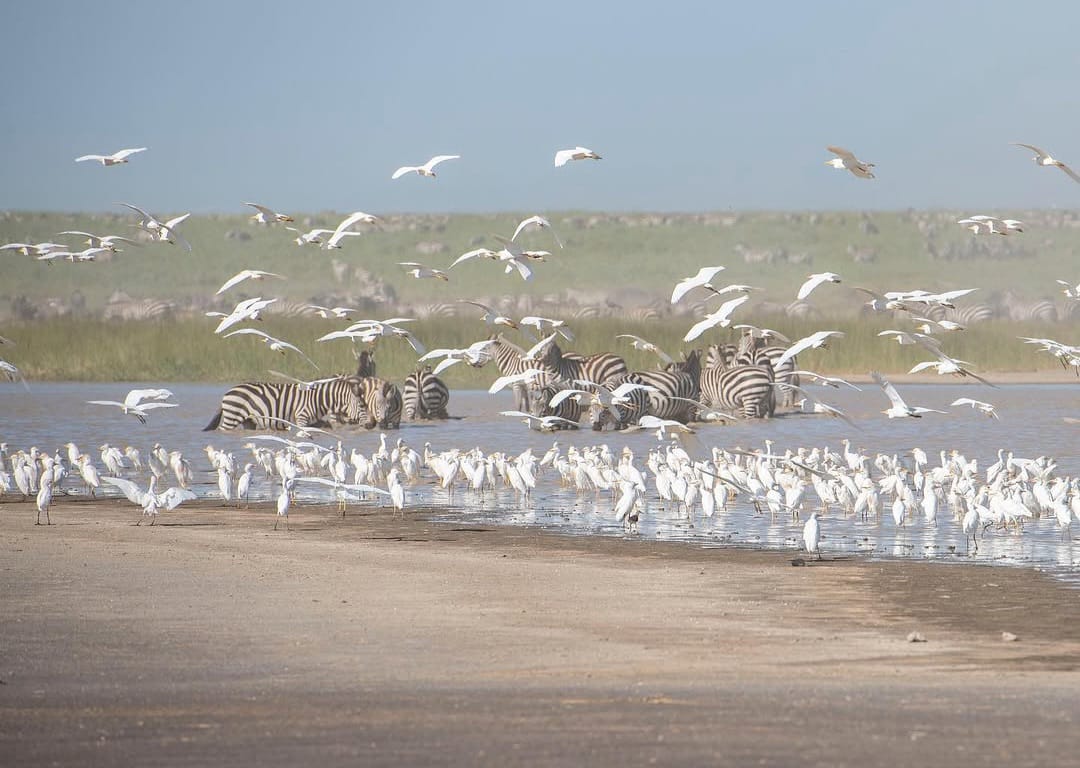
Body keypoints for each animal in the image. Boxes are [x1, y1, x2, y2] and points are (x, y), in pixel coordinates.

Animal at [204, 377, 364, 431]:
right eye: (361, 406)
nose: (368, 424)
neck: (319, 399)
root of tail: (227, 392)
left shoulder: (314, 421)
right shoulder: (301, 417)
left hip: (249, 421)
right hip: (232, 417)